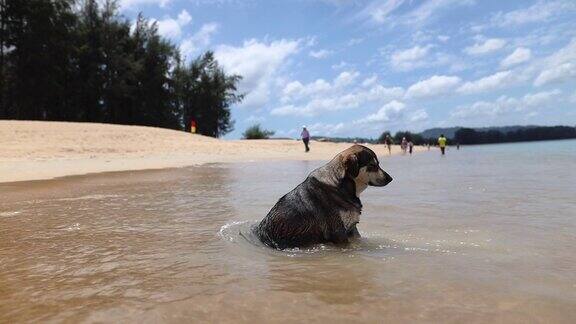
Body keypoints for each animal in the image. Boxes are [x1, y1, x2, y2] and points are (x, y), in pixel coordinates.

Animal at [255, 146, 394, 249]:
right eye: (372, 165)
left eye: (378, 164)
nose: (390, 179)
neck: (341, 184)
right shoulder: (338, 231)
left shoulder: (352, 228)